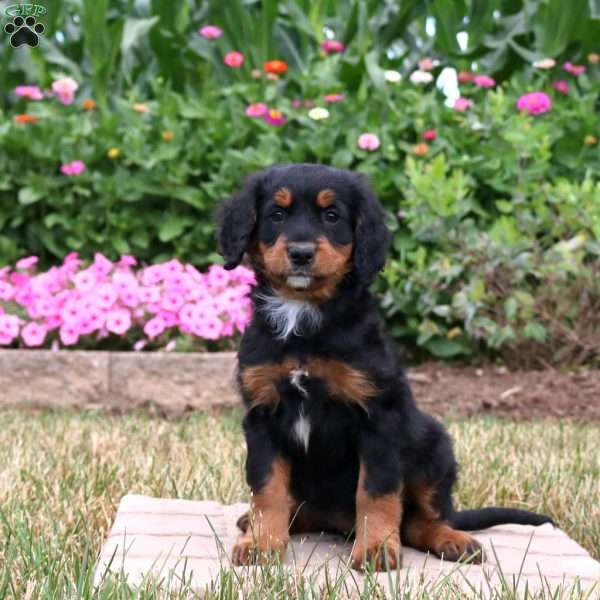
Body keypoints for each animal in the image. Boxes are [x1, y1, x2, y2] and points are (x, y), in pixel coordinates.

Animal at [217, 164, 552, 572]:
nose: (300, 253)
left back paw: (453, 540)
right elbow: (267, 489)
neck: (303, 314)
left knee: (422, 520)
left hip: (433, 443)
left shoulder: (378, 416)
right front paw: (262, 543)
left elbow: (376, 491)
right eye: (276, 214)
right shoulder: (263, 414)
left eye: (332, 216)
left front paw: (376, 548)